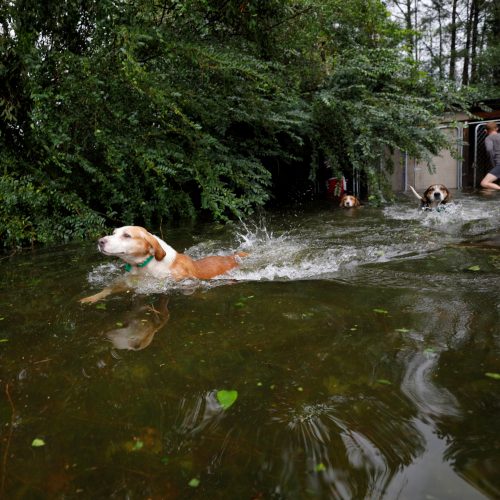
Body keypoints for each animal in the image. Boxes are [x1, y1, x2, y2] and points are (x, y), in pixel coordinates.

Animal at [78, 228, 248, 304]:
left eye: (127, 235)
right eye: (113, 233)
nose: (100, 241)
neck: (145, 266)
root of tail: (231, 256)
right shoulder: (127, 283)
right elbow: (106, 290)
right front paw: (90, 298)